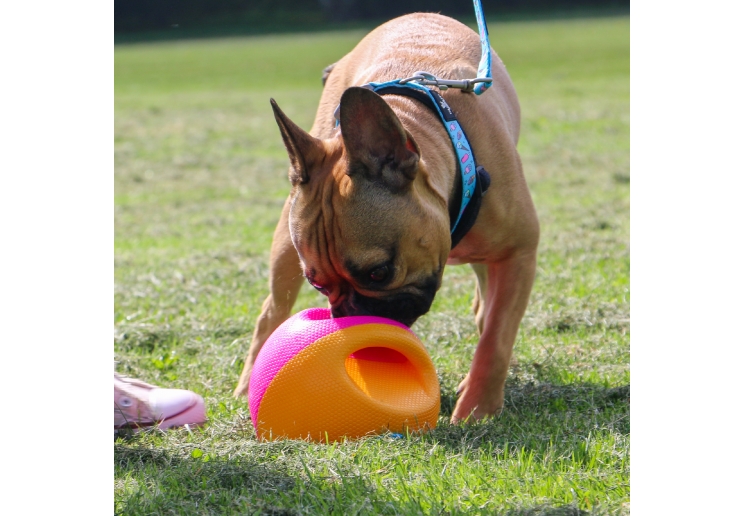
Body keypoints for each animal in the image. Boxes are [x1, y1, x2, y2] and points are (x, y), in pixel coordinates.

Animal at [235, 13, 536, 424]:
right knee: (272, 311)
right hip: (284, 241)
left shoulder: (518, 252)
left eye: (379, 273)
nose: (348, 315)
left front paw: (477, 409)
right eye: (316, 283)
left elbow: (497, 336)